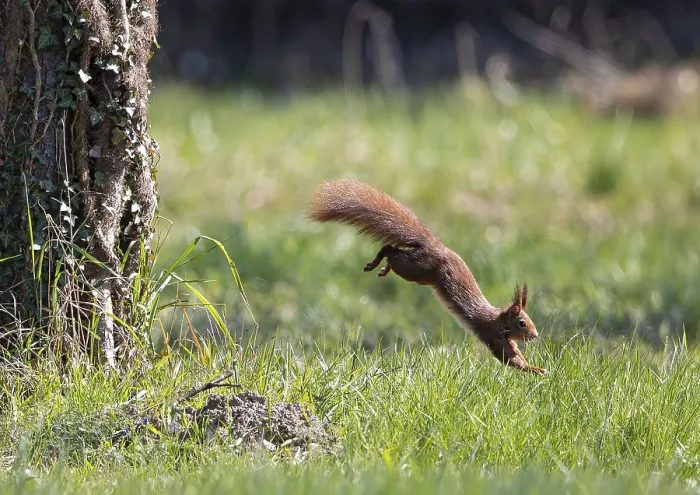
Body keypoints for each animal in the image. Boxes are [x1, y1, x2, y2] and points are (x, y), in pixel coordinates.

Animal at [307, 179, 548, 375]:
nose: (535, 335)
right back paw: (377, 263)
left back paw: (383, 268)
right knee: (390, 250)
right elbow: (511, 361)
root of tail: (433, 244)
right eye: (522, 323)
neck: (499, 320)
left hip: (420, 273)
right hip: (416, 269)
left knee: (393, 251)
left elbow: (516, 356)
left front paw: (536, 366)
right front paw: (537, 370)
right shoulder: (493, 335)